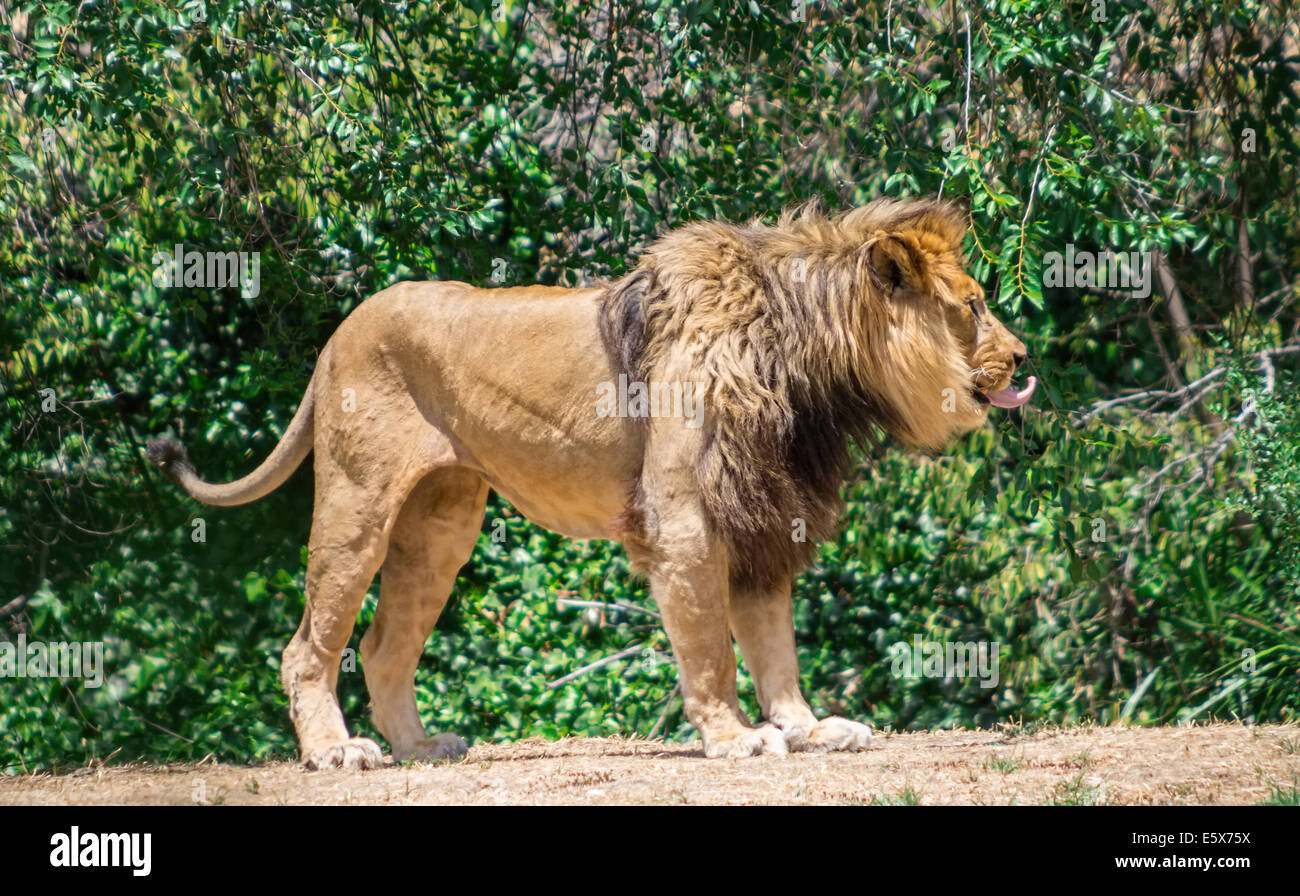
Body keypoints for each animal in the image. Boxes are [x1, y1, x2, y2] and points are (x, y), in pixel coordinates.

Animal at [147, 197, 1035, 770]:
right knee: (309, 645)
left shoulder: (761, 511)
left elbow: (775, 643)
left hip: (440, 526)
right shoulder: (686, 518)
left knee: (381, 643)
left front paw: (808, 728)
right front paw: (735, 737)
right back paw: (336, 753)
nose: (1024, 358)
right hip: (357, 505)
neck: (807, 365)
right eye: (973, 306)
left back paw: (421, 747)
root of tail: (338, 332)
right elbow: (711, 648)